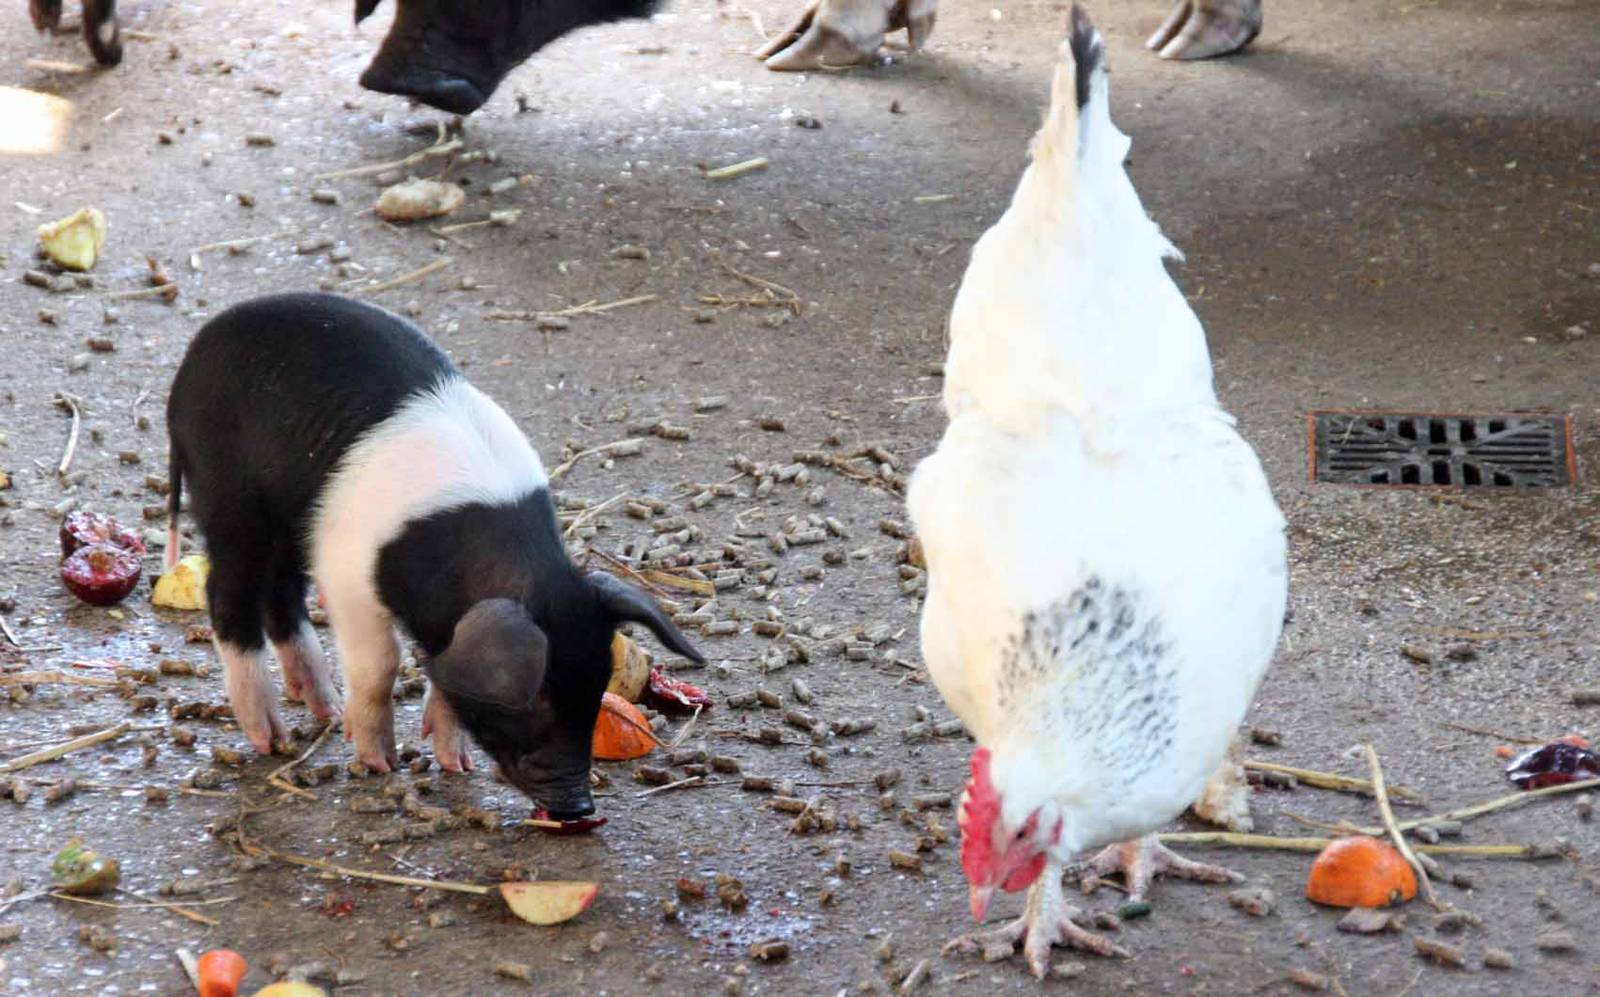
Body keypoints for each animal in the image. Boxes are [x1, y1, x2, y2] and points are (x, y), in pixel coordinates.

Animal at [165, 292, 702, 818]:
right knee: (228, 594)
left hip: (290, 521)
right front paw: (377, 762)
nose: (578, 806)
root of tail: (193, 356)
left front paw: (455, 763)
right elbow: (381, 663)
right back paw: (269, 737)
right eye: (534, 703)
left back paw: (325, 707)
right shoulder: (347, 570)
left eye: (595, 693)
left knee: (282, 595)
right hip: (228, 495)